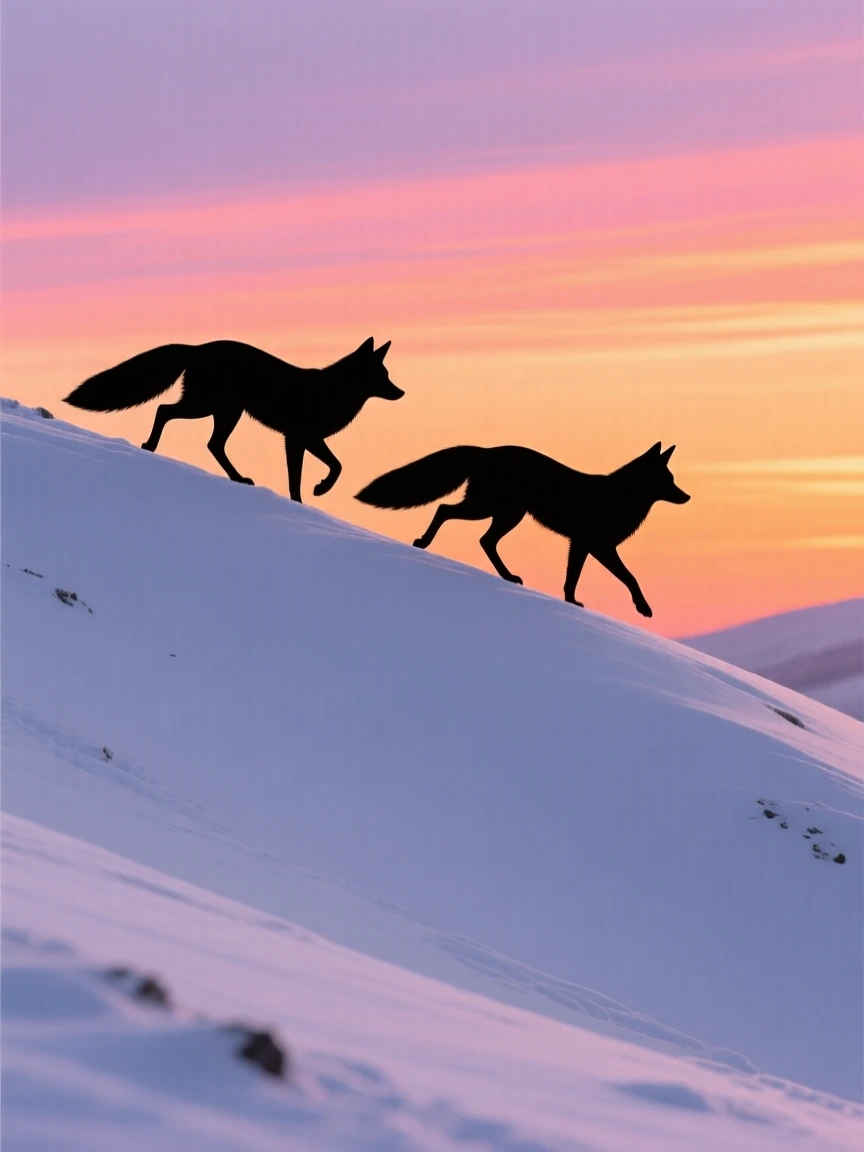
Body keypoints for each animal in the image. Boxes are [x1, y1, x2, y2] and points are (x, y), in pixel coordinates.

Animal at [64, 338, 403, 501]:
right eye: (382, 376)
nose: (401, 392)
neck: (331, 392)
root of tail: (197, 348)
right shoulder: (297, 438)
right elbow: (321, 472)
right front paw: (315, 492)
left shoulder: (304, 440)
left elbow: (330, 467)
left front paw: (312, 493)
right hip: (209, 407)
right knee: (165, 411)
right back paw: (150, 446)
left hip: (225, 412)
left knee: (212, 444)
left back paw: (237, 478)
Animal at [356, 443, 690, 617]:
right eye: (669, 481)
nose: (687, 497)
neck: (620, 498)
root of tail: (486, 451)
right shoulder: (598, 546)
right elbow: (630, 577)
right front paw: (643, 607)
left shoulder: (580, 545)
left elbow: (571, 579)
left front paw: (571, 603)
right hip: (491, 510)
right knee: (445, 511)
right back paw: (423, 542)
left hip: (505, 515)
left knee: (485, 540)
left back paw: (507, 576)